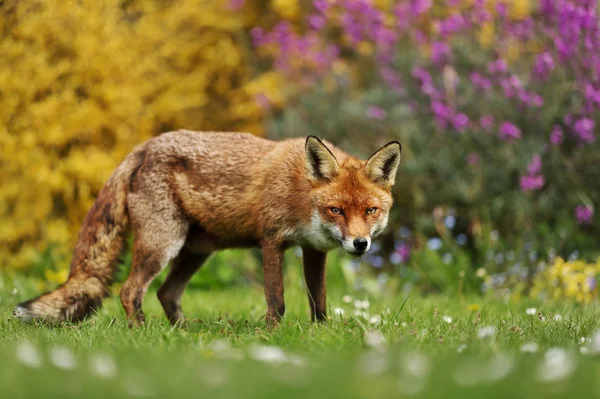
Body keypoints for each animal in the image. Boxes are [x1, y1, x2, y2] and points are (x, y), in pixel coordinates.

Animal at [14, 133, 400, 326]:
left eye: (370, 210)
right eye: (336, 210)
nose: (360, 244)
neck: (299, 190)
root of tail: (142, 147)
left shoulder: (314, 250)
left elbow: (318, 301)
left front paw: (320, 335)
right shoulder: (271, 241)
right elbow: (276, 301)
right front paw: (272, 337)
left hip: (196, 252)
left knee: (166, 294)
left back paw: (182, 335)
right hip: (162, 246)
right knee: (129, 291)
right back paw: (141, 334)